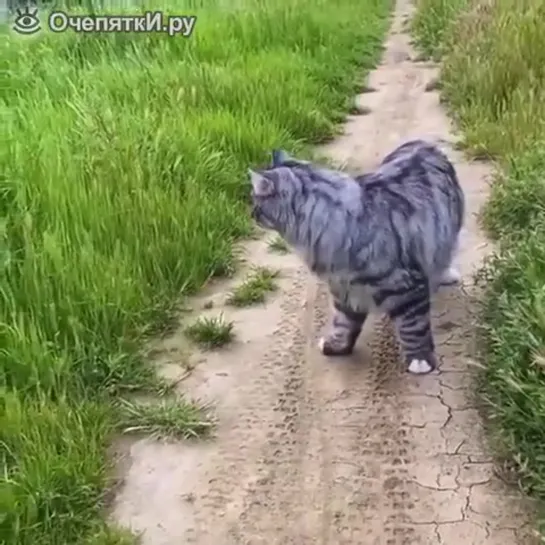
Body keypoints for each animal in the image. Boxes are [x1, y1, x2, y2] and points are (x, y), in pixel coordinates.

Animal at [249, 139, 462, 374]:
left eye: (255, 201)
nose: (251, 214)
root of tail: (421, 142)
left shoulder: (408, 283)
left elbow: (414, 326)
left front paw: (420, 361)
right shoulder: (343, 287)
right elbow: (343, 323)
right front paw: (337, 346)